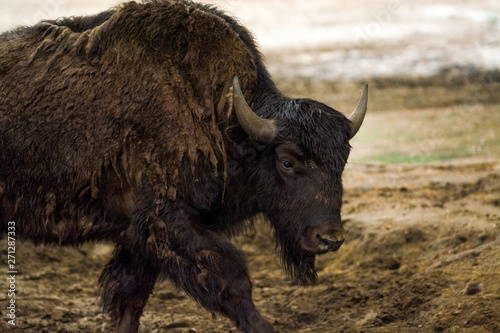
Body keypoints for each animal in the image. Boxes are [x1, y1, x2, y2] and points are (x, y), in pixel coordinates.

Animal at [0, 0, 368, 332]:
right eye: (287, 161)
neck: (226, 118)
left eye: (343, 161)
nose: (329, 238)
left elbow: (132, 300)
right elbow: (234, 279)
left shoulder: (137, 236)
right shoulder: (167, 220)